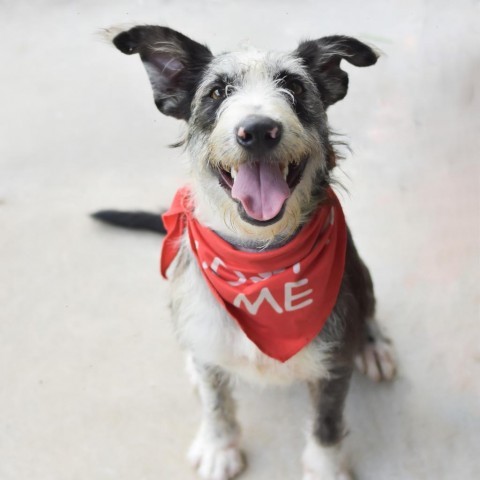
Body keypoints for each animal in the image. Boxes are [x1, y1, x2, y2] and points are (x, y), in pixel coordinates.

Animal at [92, 25, 396, 480]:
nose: (257, 130)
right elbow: (216, 403)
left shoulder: (334, 362)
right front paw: (219, 446)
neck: (260, 261)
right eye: (218, 91)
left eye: (293, 86)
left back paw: (373, 345)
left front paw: (325, 467)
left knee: (369, 308)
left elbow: (326, 424)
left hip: (362, 272)